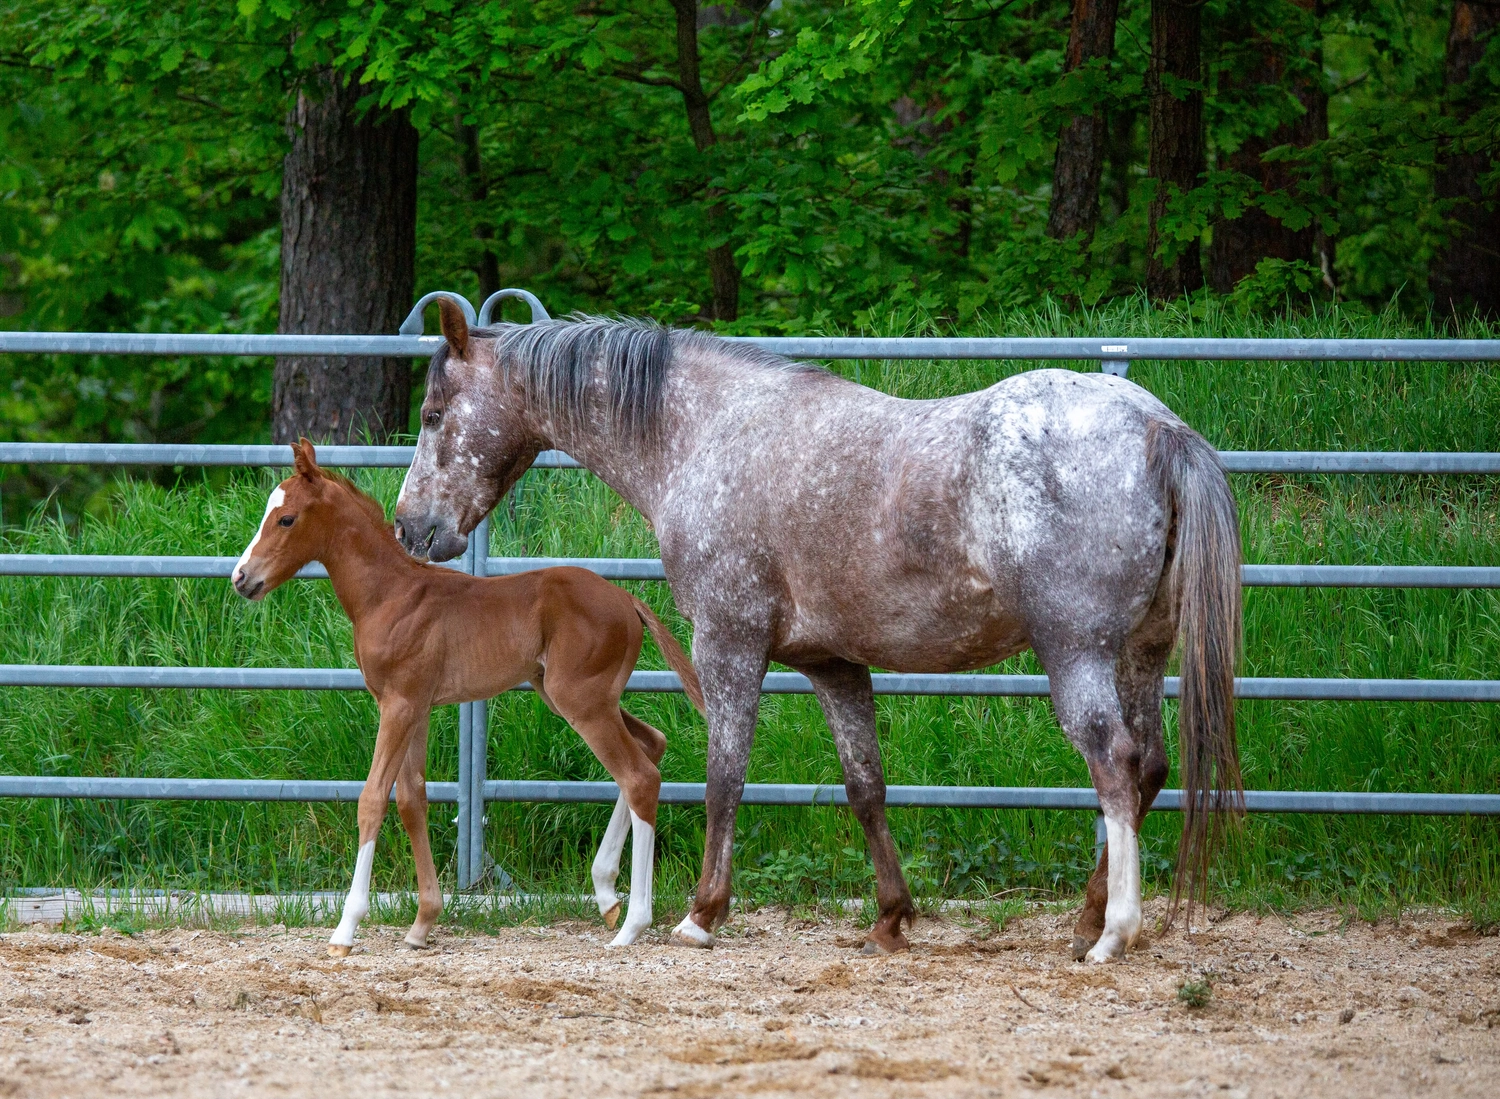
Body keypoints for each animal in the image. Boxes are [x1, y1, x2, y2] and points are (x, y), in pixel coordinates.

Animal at [231, 439, 704, 954]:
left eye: (286, 519)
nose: (241, 578)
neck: (390, 595)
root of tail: (629, 601)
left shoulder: (397, 706)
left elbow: (373, 799)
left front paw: (345, 929)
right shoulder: (414, 708)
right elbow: (412, 800)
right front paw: (422, 923)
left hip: (581, 699)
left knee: (638, 776)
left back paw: (631, 924)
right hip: (577, 695)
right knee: (651, 746)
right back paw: (605, 894)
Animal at [393, 300, 1243, 963]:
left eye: (434, 416)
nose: (410, 526)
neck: (705, 432)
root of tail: (1159, 428)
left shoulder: (728, 643)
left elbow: (724, 774)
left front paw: (701, 912)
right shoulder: (834, 664)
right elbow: (865, 786)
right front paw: (891, 916)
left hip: (1076, 652)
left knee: (1115, 762)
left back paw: (1113, 931)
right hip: (1138, 653)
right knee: (1149, 765)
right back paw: (1087, 918)